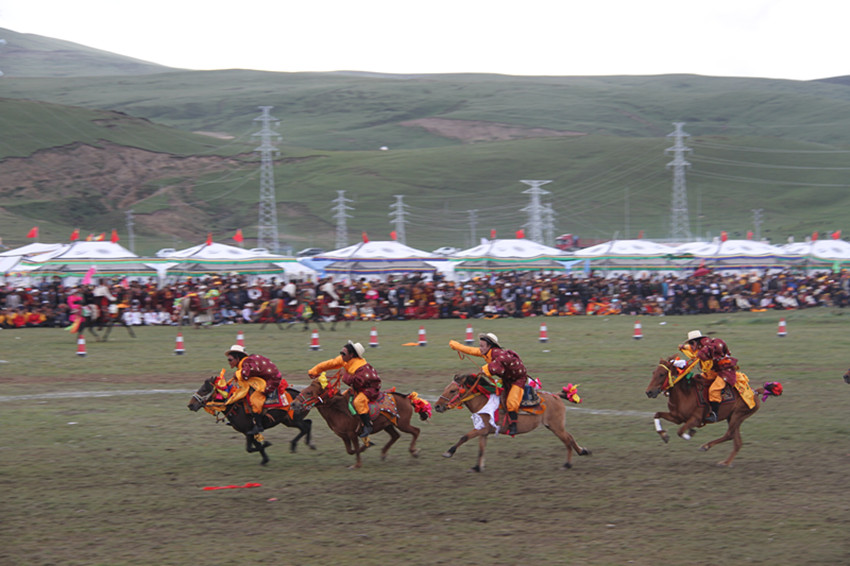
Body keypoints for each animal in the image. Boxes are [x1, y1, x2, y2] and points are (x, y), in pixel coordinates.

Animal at [290, 374, 430, 469]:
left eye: (309, 392)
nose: (293, 404)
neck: (338, 408)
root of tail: (407, 397)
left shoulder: (352, 433)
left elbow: (356, 449)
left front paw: (357, 464)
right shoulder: (343, 435)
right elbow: (350, 450)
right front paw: (366, 446)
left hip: (402, 424)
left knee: (416, 431)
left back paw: (414, 451)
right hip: (388, 425)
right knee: (396, 436)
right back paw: (383, 454)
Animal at [433, 373, 591, 472]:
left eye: (453, 390)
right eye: (446, 389)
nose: (437, 406)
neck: (482, 402)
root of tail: (555, 396)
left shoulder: (481, 429)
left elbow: (464, 437)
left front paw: (449, 452)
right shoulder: (484, 432)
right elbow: (481, 449)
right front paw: (477, 467)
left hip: (556, 427)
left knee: (567, 441)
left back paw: (567, 464)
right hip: (555, 426)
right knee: (570, 437)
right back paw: (583, 451)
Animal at [646, 358, 781, 467]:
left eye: (662, 374)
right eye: (653, 373)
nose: (649, 392)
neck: (685, 394)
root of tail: (755, 392)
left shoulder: (695, 419)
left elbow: (680, 431)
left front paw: (690, 433)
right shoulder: (677, 417)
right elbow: (657, 414)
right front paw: (664, 435)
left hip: (738, 415)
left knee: (729, 435)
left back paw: (706, 446)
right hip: (732, 417)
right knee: (737, 442)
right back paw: (726, 462)